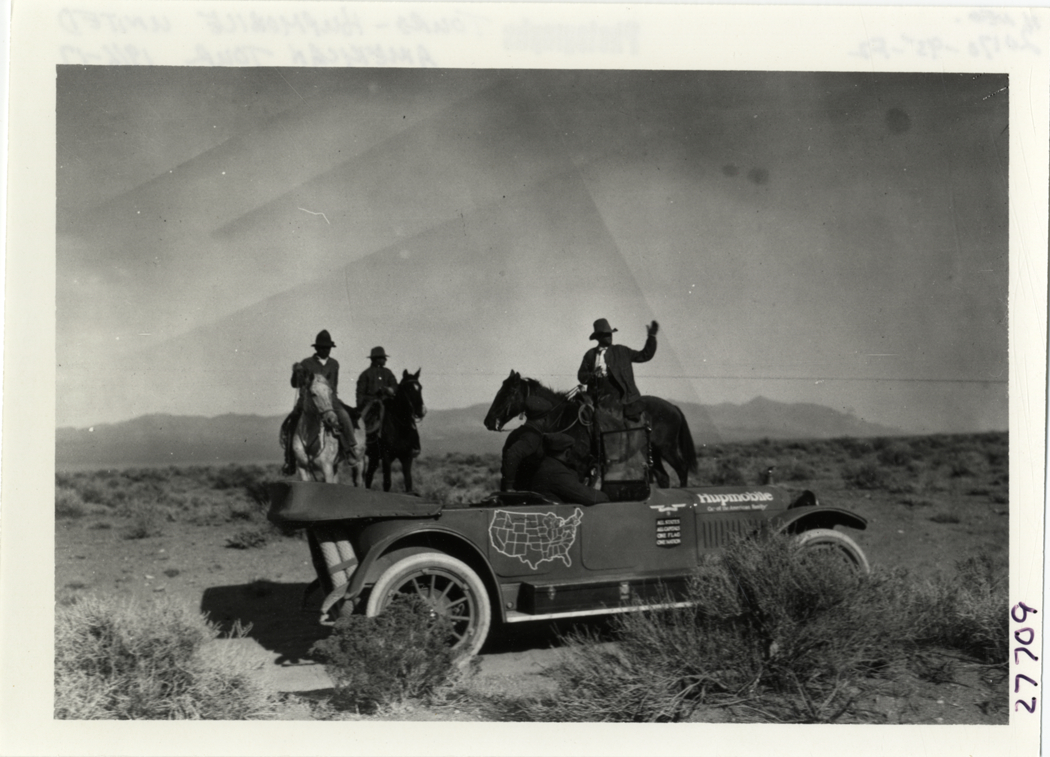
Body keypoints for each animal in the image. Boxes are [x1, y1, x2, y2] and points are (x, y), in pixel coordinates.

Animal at [482, 369, 697, 487]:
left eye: (508, 392)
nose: (488, 421)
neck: (563, 419)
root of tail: (673, 407)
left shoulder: (580, 467)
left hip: (667, 448)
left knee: (682, 468)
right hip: (655, 452)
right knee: (664, 477)